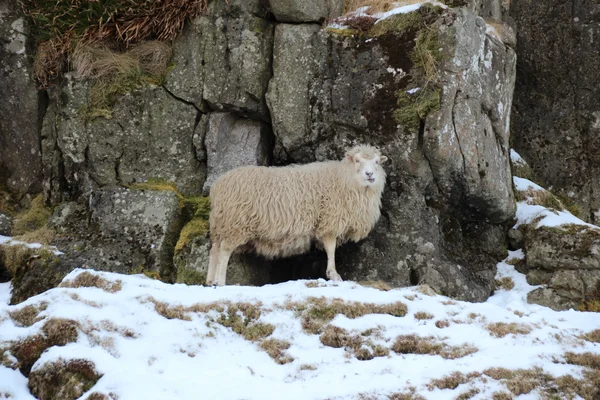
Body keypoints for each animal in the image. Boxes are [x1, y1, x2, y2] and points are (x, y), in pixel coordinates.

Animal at [204, 145, 386, 286]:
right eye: (357, 160)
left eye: (377, 162)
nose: (370, 174)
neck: (344, 179)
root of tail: (218, 186)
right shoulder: (330, 220)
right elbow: (330, 246)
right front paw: (334, 274)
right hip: (235, 223)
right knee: (225, 250)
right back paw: (220, 281)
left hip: (221, 224)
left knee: (215, 250)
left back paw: (210, 281)